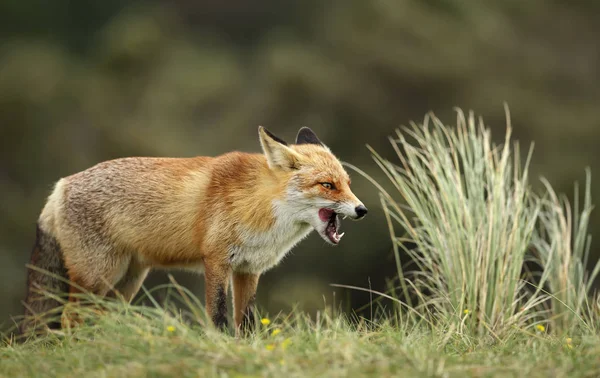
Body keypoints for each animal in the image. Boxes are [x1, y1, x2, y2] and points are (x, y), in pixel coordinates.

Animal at [19, 126, 366, 334]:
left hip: (126, 280)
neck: (258, 205)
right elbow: (219, 316)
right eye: (327, 185)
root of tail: (59, 187)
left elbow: (246, 322)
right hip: (98, 276)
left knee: (94, 316)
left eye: (348, 184)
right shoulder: (216, 261)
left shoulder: (248, 269)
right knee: (71, 317)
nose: (362, 210)